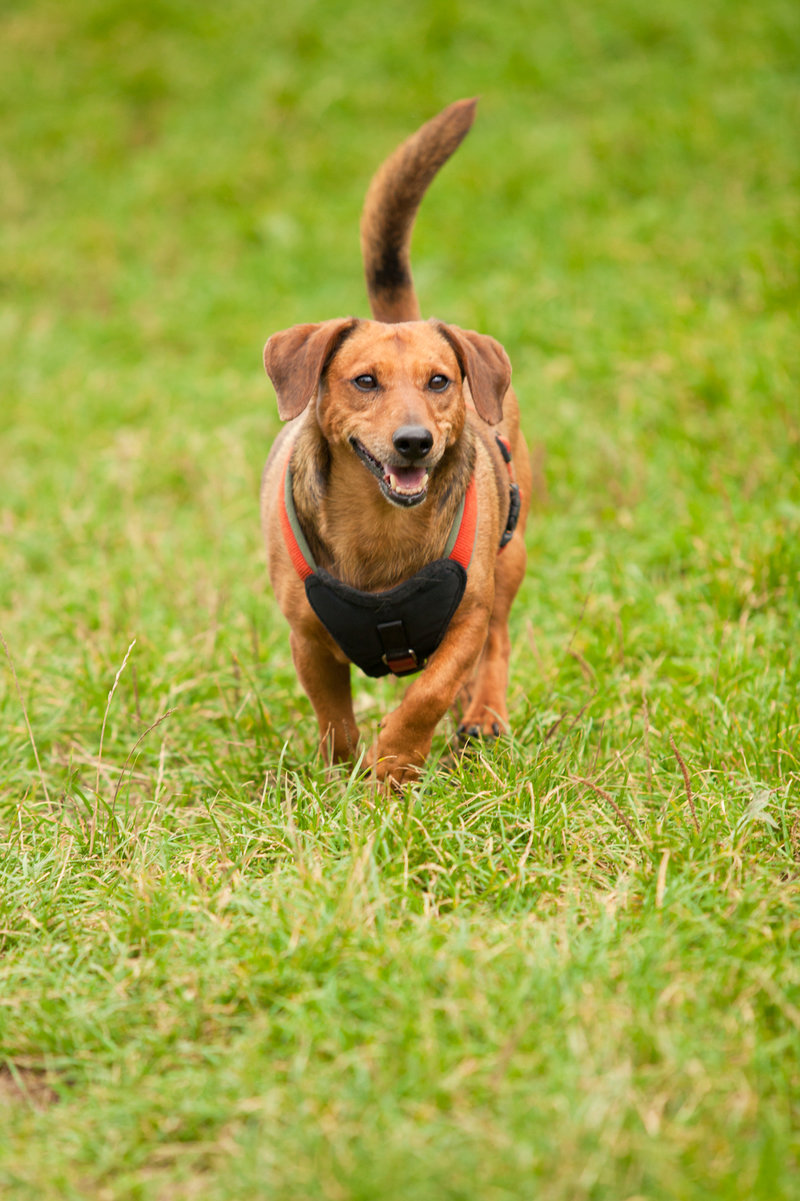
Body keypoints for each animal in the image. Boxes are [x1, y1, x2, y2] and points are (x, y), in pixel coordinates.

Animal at [260, 98, 530, 787]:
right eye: (364, 381)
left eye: (439, 381)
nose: (414, 443)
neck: (382, 526)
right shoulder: (307, 637)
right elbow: (334, 717)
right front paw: (341, 775)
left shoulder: (467, 616)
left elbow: (428, 692)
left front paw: (394, 767)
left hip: (511, 557)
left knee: (497, 646)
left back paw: (483, 714)